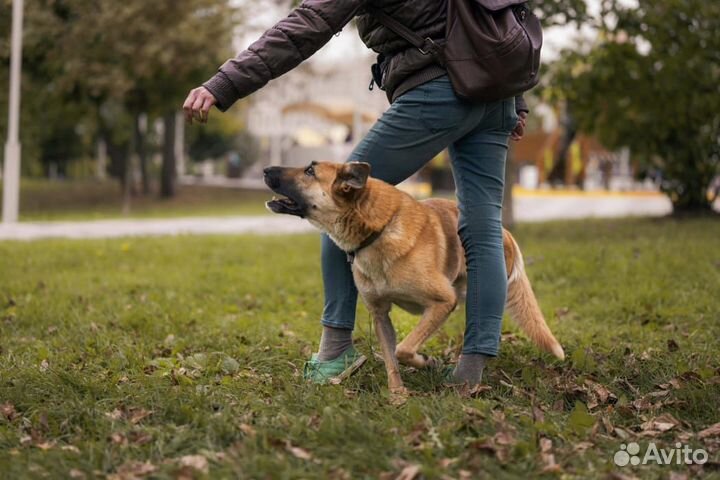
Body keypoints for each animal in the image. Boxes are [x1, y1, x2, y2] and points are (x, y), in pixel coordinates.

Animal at [262, 161, 564, 394]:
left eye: (309, 170)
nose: (266, 169)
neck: (379, 230)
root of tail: (504, 232)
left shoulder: (443, 302)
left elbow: (403, 350)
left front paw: (426, 362)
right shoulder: (380, 315)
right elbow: (391, 360)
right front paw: (398, 395)